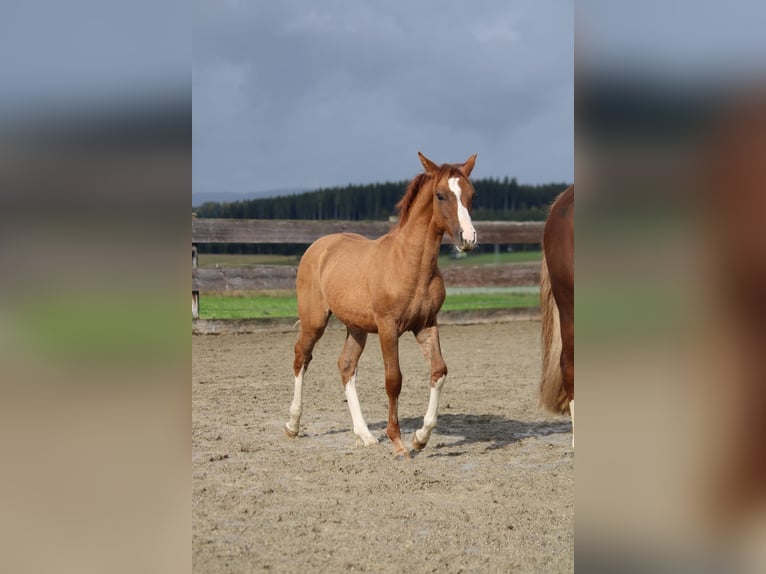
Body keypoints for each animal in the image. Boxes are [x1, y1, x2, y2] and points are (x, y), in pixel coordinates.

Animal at [288, 153, 480, 460]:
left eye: (471, 194)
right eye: (440, 195)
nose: (468, 238)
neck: (409, 264)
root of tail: (318, 247)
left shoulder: (426, 324)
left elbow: (438, 371)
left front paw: (420, 438)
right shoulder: (389, 328)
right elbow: (393, 380)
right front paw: (399, 444)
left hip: (356, 328)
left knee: (346, 366)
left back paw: (365, 435)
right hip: (314, 320)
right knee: (301, 358)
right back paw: (293, 425)